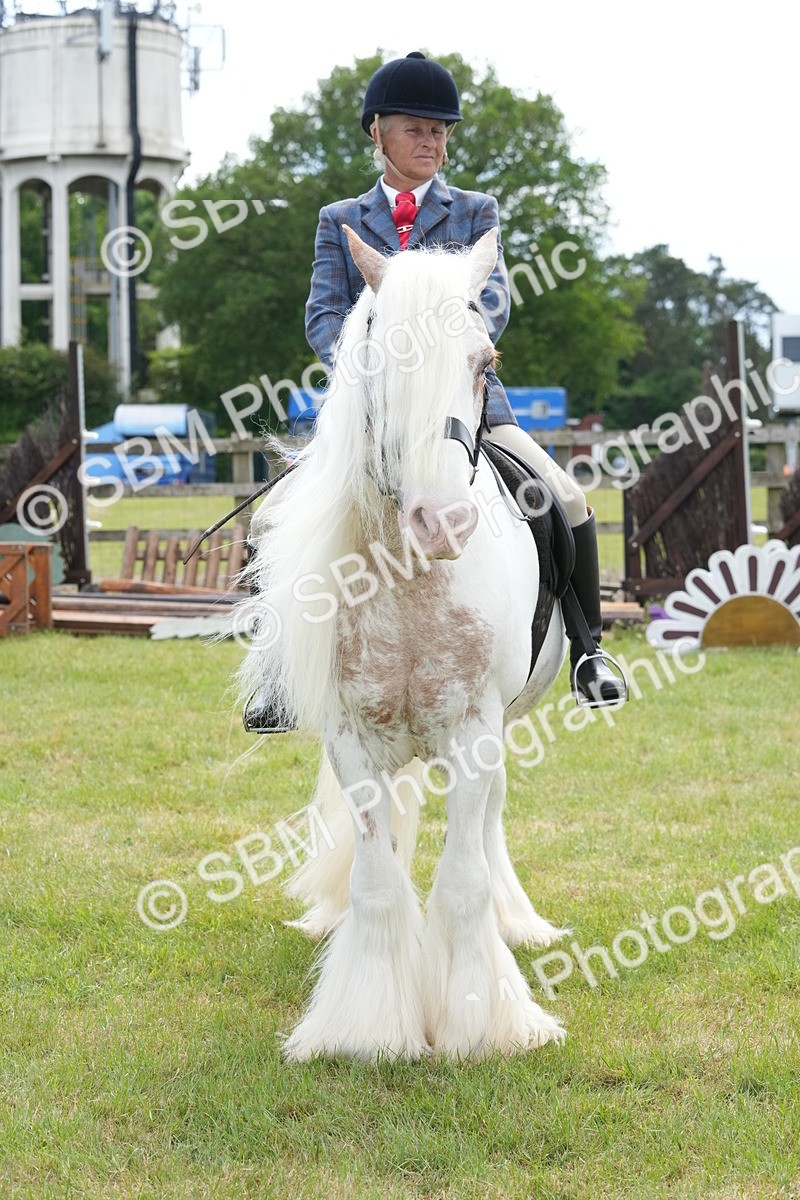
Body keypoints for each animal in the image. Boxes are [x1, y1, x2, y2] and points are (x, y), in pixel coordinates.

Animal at [237, 225, 568, 1061]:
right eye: (381, 359)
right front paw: (369, 1029)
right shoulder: (353, 740)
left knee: (489, 823)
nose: (441, 521)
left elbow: (463, 877)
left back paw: (516, 924)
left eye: (485, 363)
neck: (409, 576)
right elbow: (377, 881)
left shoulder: (477, 732)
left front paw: (482, 1023)